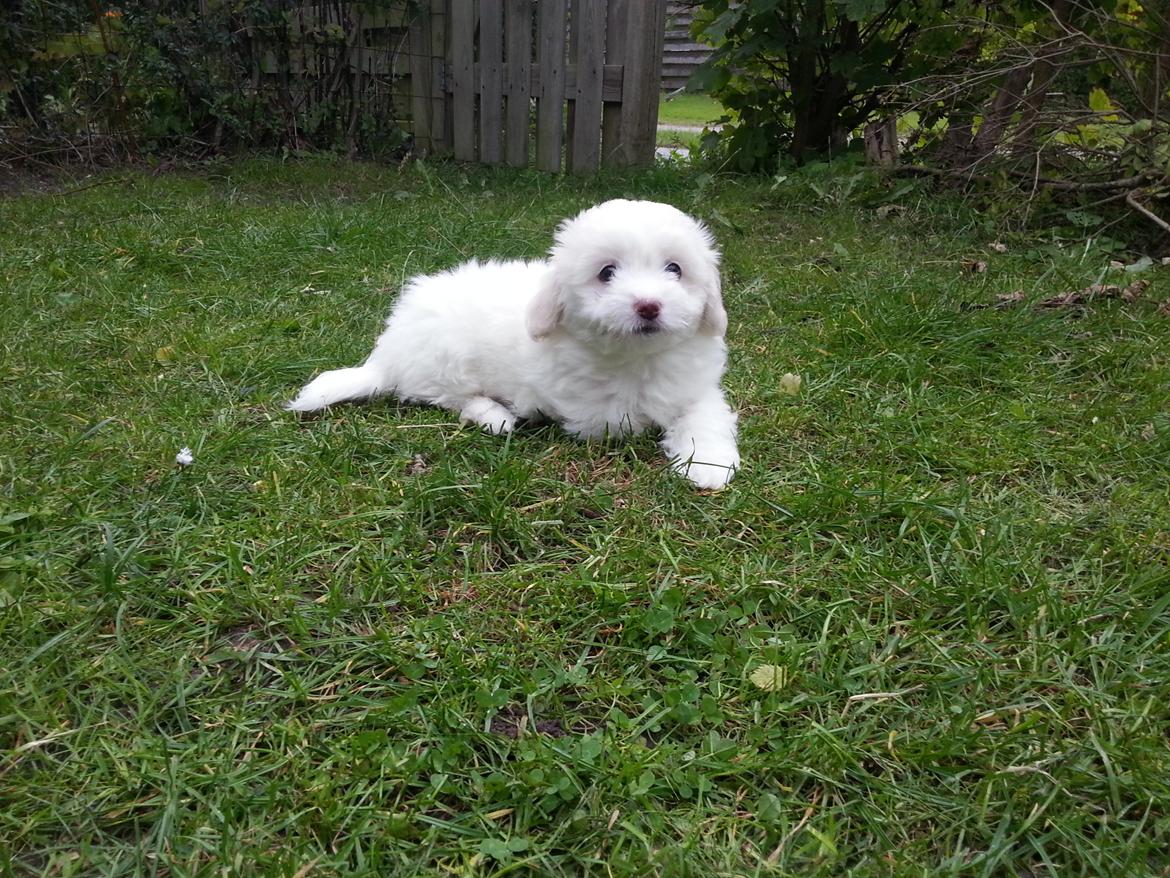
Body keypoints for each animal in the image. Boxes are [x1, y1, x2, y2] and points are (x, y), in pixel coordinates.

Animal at [285, 197, 739, 489]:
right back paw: (495, 416)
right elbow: (626, 420)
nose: (648, 305)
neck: (637, 358)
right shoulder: (592, 409)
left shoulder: (695, 386)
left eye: (675, 269)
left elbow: (704, 414)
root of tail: (388, 352)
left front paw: (710, 463)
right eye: (606, 273)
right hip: (446, 358)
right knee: (449, 398)